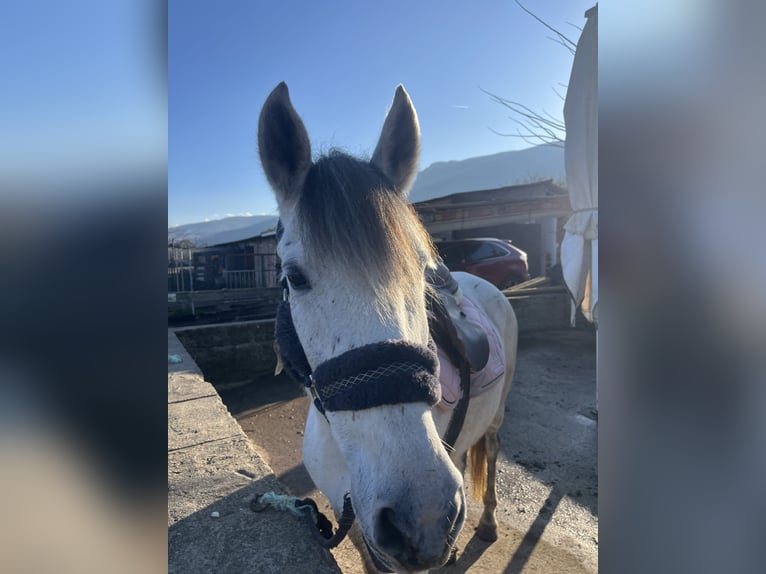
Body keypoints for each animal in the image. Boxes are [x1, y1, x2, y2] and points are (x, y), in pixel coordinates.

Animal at [260, 82, 520, 574]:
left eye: (420, 273)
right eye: (295, 278)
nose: (424, 513)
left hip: (497, 415)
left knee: (493, 452)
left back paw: (490, 523)